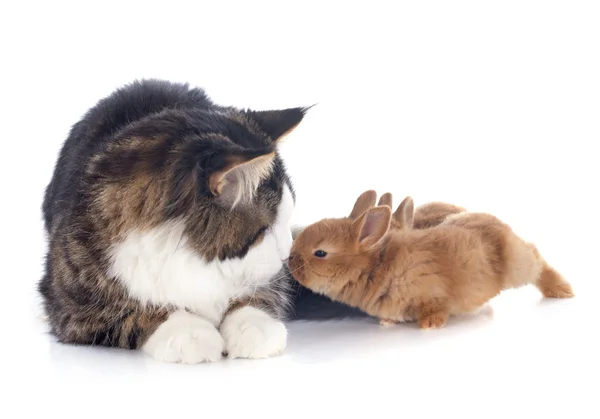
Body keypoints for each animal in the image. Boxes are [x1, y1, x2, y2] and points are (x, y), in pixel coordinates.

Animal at [40, 79, 318, 364]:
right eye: (265, 230)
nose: (288, 256)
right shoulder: (70, 305)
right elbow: (136, 315)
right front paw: (189, 333)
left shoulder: (268, 280)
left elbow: (257, 296)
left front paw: (254, 328)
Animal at [288, 195, 576, 330]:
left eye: (320, 253)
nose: (289, 261)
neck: (377, 265)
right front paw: (387, 322)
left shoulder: (432, 291)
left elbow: (436, 307)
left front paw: (430, 324)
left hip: (519, 265)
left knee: (539, 263)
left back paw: (562, 290)